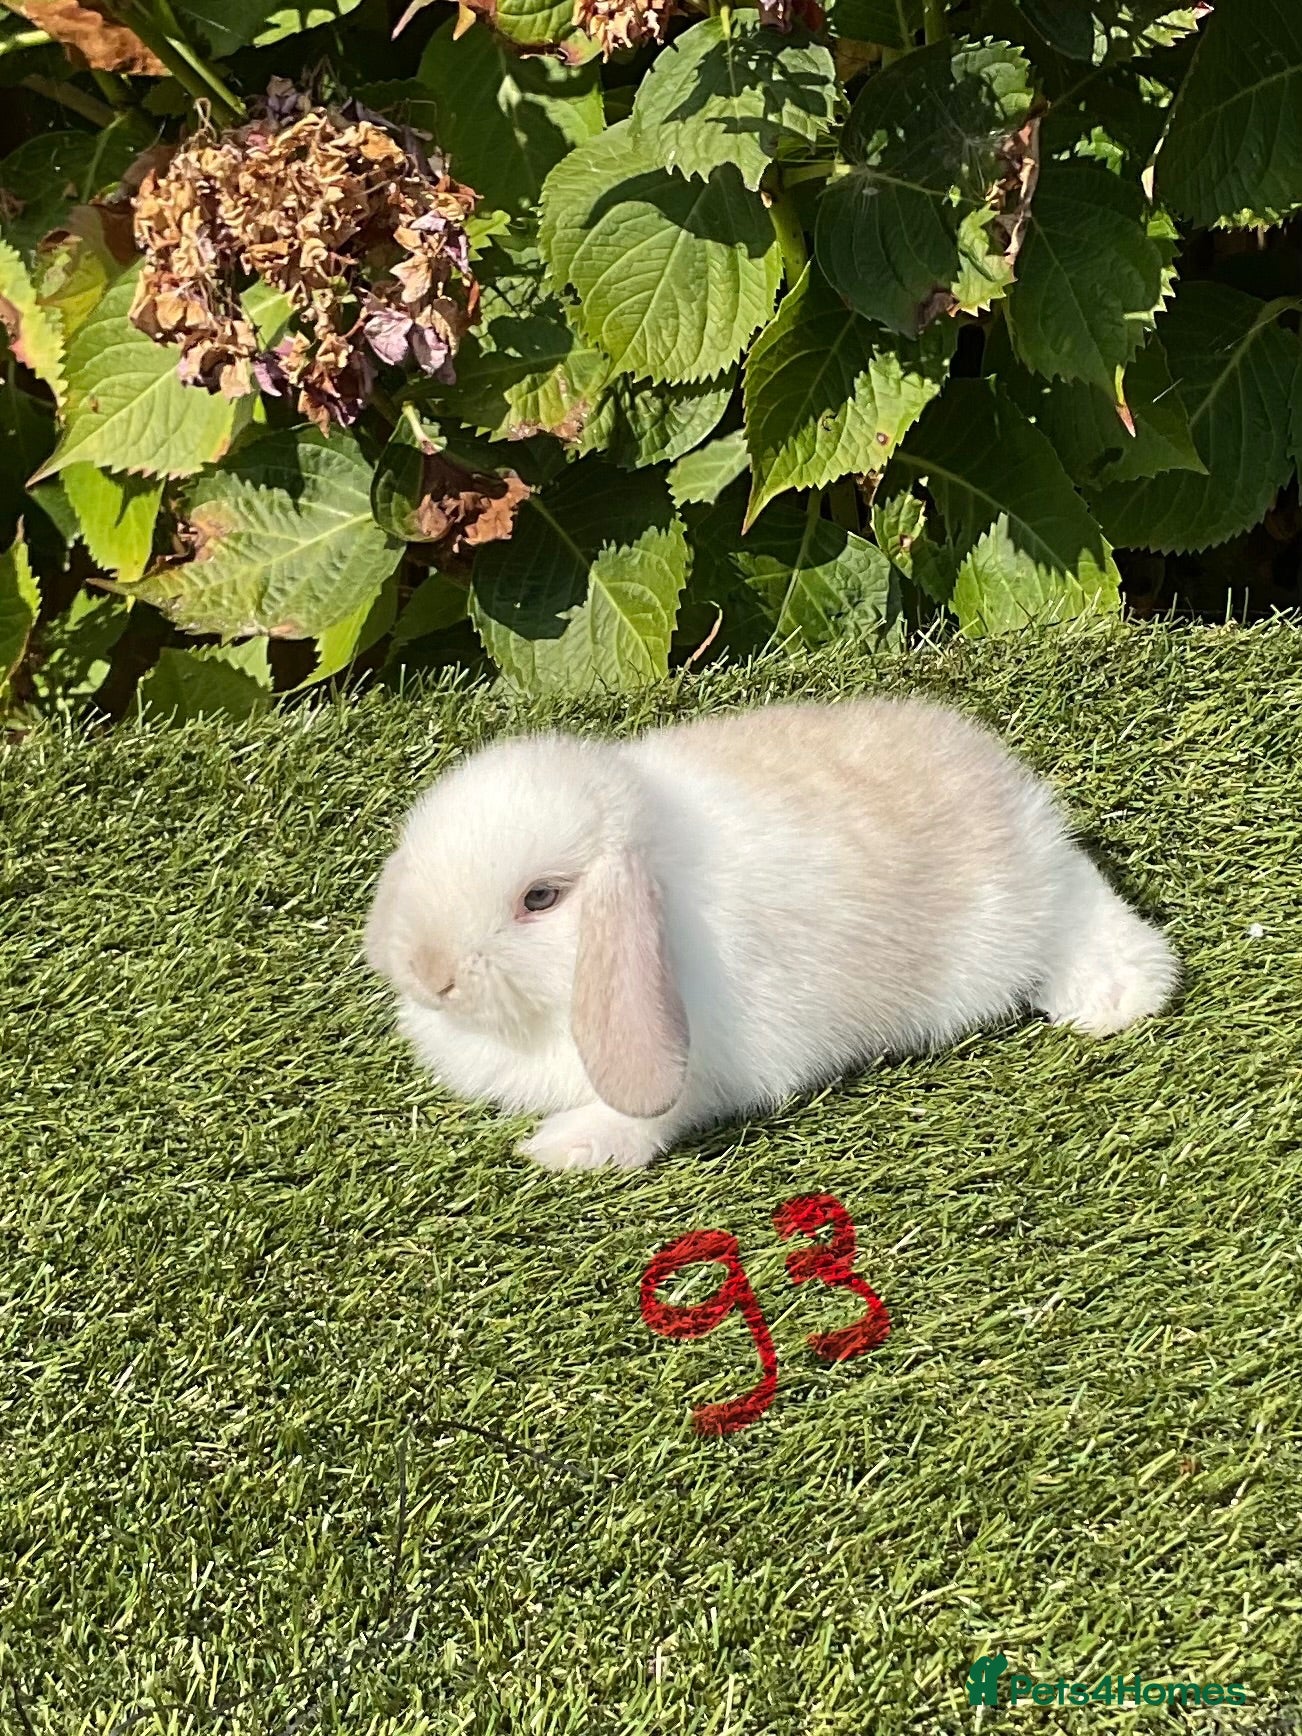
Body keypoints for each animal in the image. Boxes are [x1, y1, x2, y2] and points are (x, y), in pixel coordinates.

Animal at [364, 697, 1179, 1173]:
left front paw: (563, 1149)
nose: (430, 973)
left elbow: (646, 1118)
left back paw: (1124, 994)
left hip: (1020, 920)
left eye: (540, 898)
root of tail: (1013, 794)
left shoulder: (695, 1072)